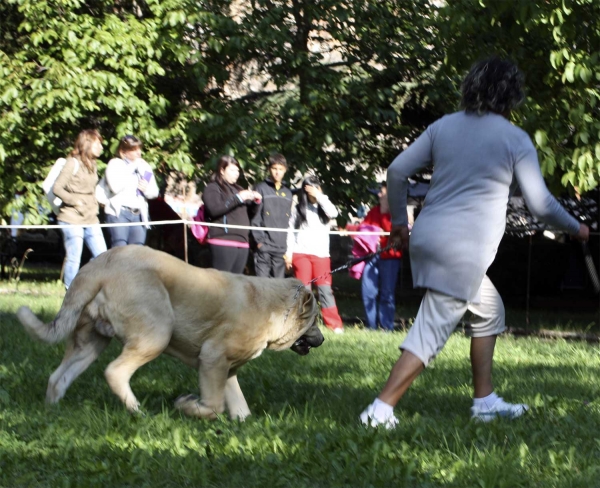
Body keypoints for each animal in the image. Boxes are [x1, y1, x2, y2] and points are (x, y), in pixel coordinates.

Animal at [16, 248, 324, 420]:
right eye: (314, 321)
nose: (322, 340)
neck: (274, 308)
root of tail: (101, 264)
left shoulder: (227, 370)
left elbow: (240, 406)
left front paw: (243, 424)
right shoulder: (212, 360)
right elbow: (213, 406)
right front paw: (186, 405)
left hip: (89, 343)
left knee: (58, 378)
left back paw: (51, 413)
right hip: (157, 333)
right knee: (115, 372)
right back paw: (138, 412)